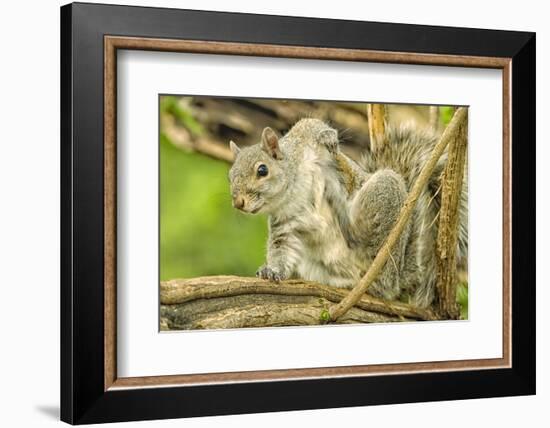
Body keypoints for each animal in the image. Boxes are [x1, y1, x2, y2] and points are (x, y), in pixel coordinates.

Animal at [226, 117, 468, 308]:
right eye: (230, 176)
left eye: (262, 170)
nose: (238, 203)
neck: (292, 191)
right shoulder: (284, 223)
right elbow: (282, 249)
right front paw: (272, 271)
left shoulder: (305, 139)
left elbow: (312, 125)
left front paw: (329, 138)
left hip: (384, 197)